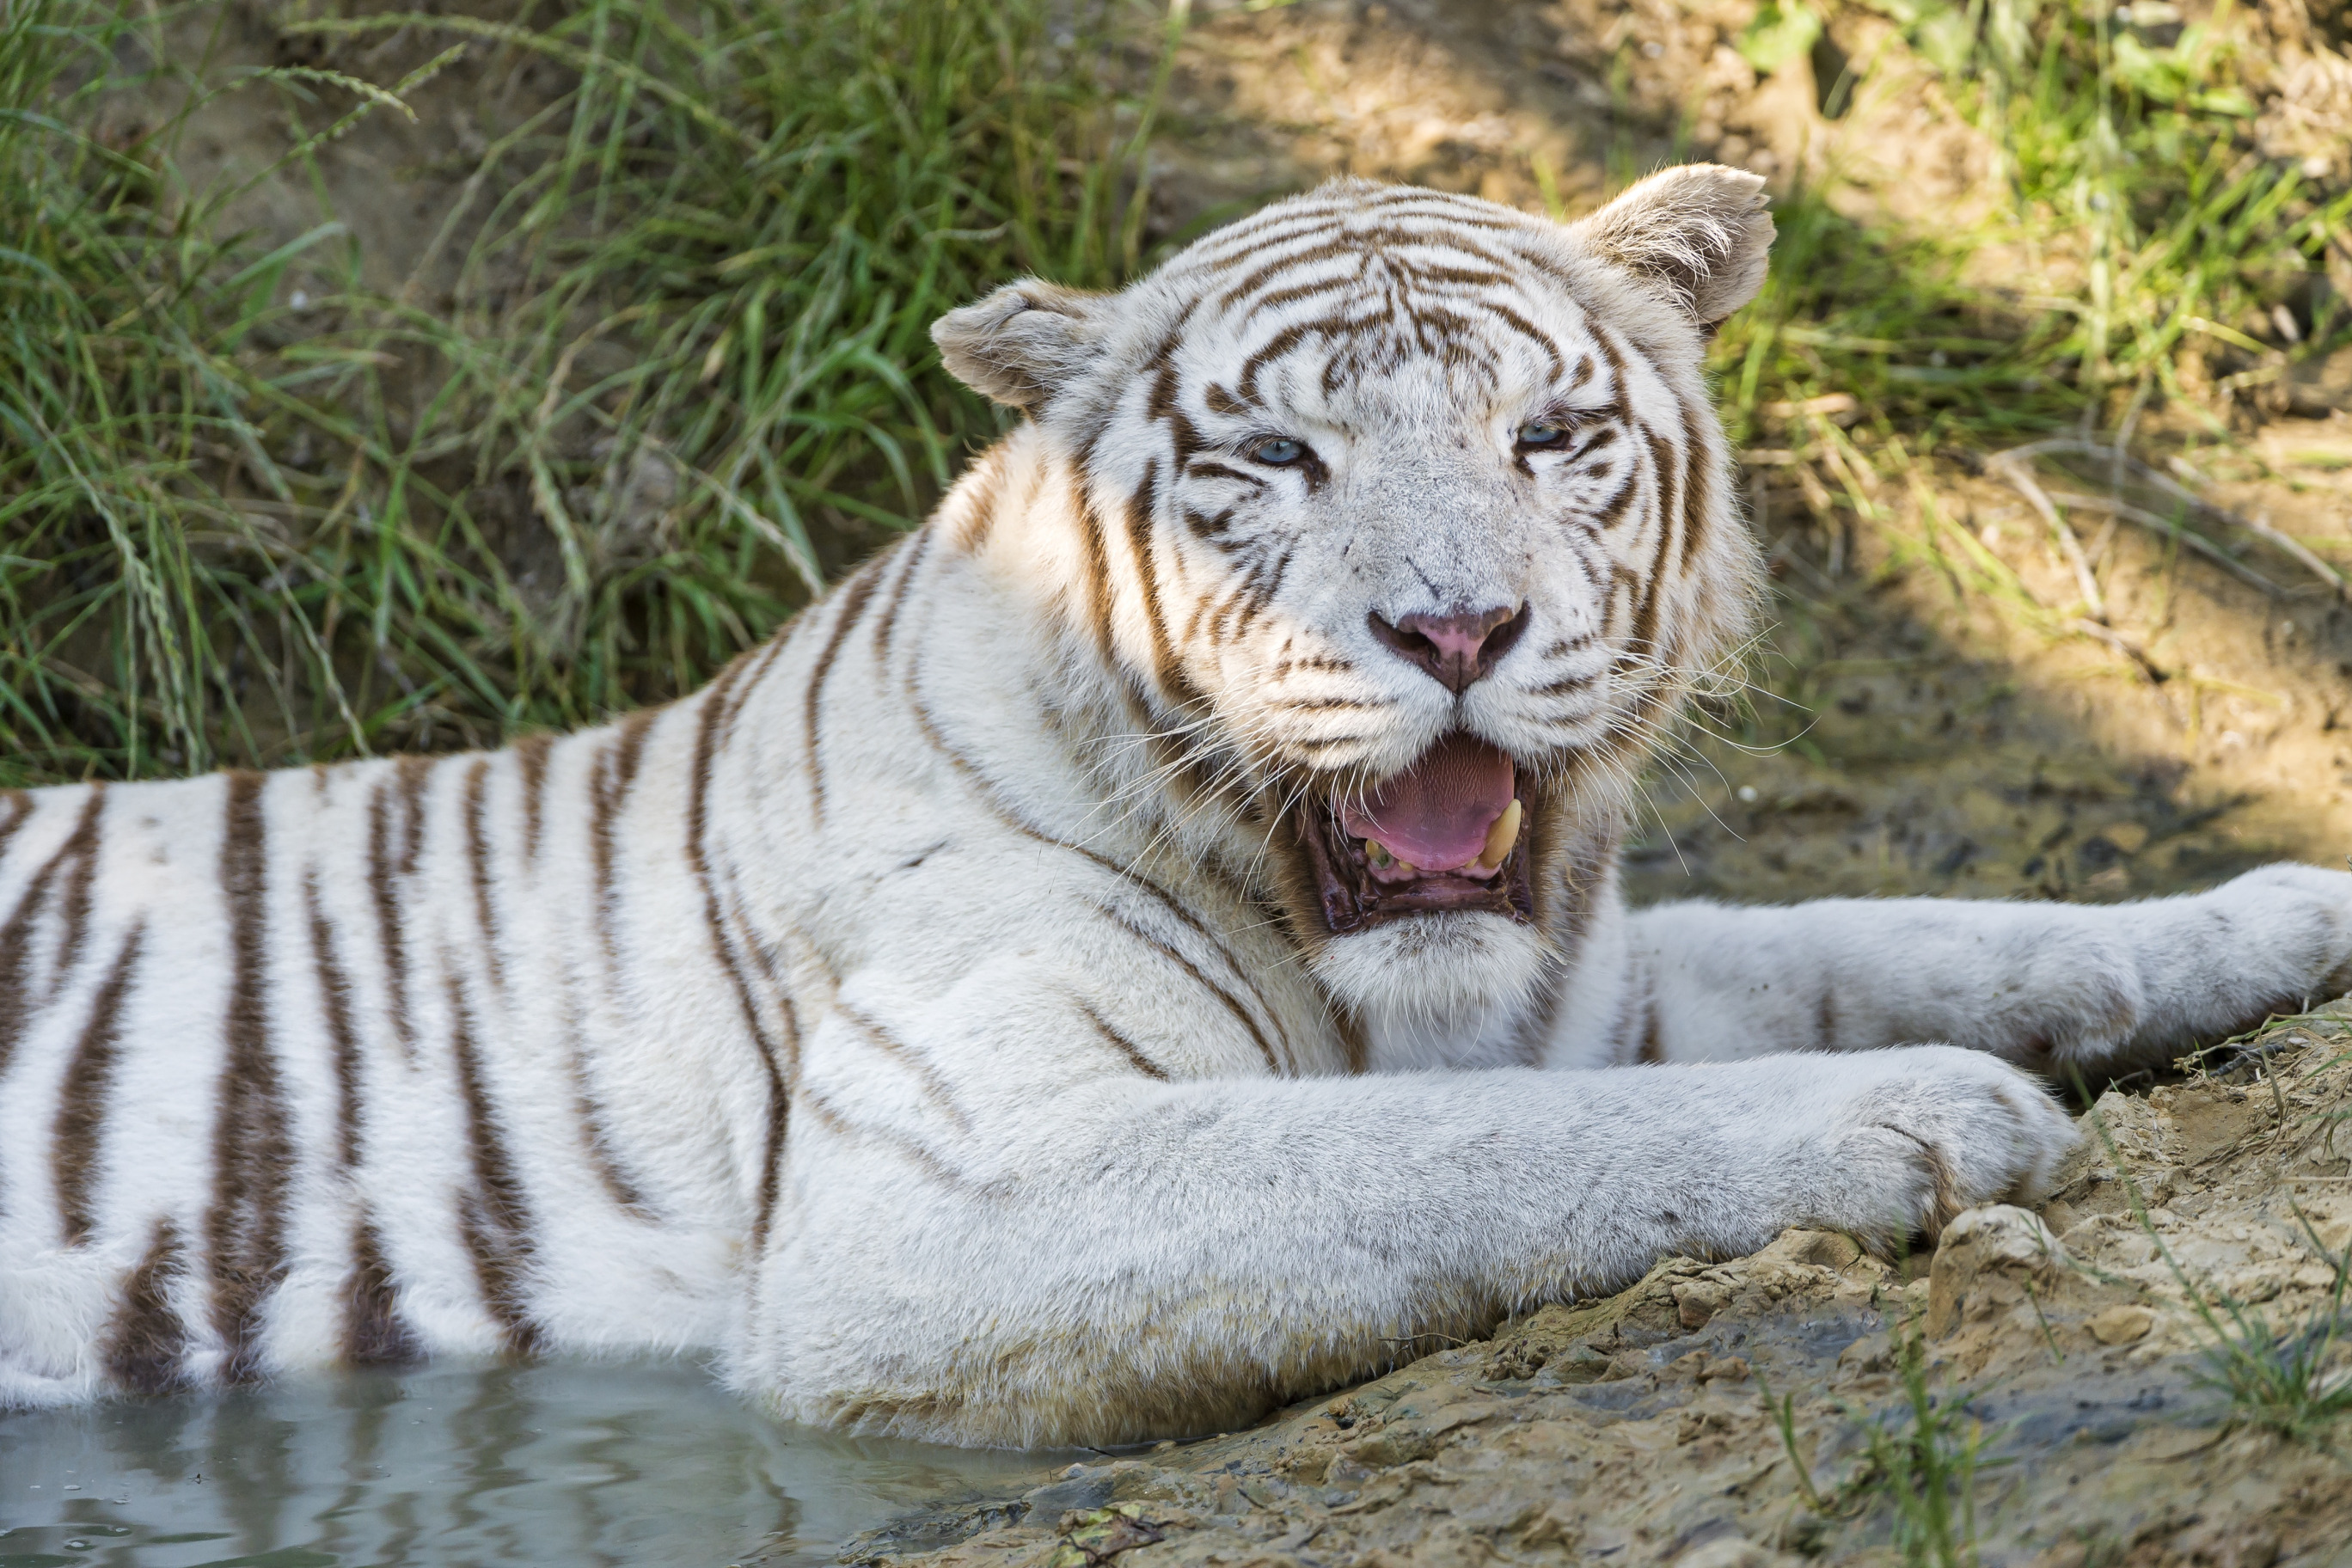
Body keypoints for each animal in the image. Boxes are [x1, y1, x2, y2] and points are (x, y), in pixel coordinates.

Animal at [4, 168, 2352, 1448]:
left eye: (1551, 433)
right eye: (1277, 462)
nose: (1456, 624)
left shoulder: (1594, 976)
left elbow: (1913, 931)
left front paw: (2284, 913)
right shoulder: (932, 1207)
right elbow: (1472, 1158)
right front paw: (1923, 1117)